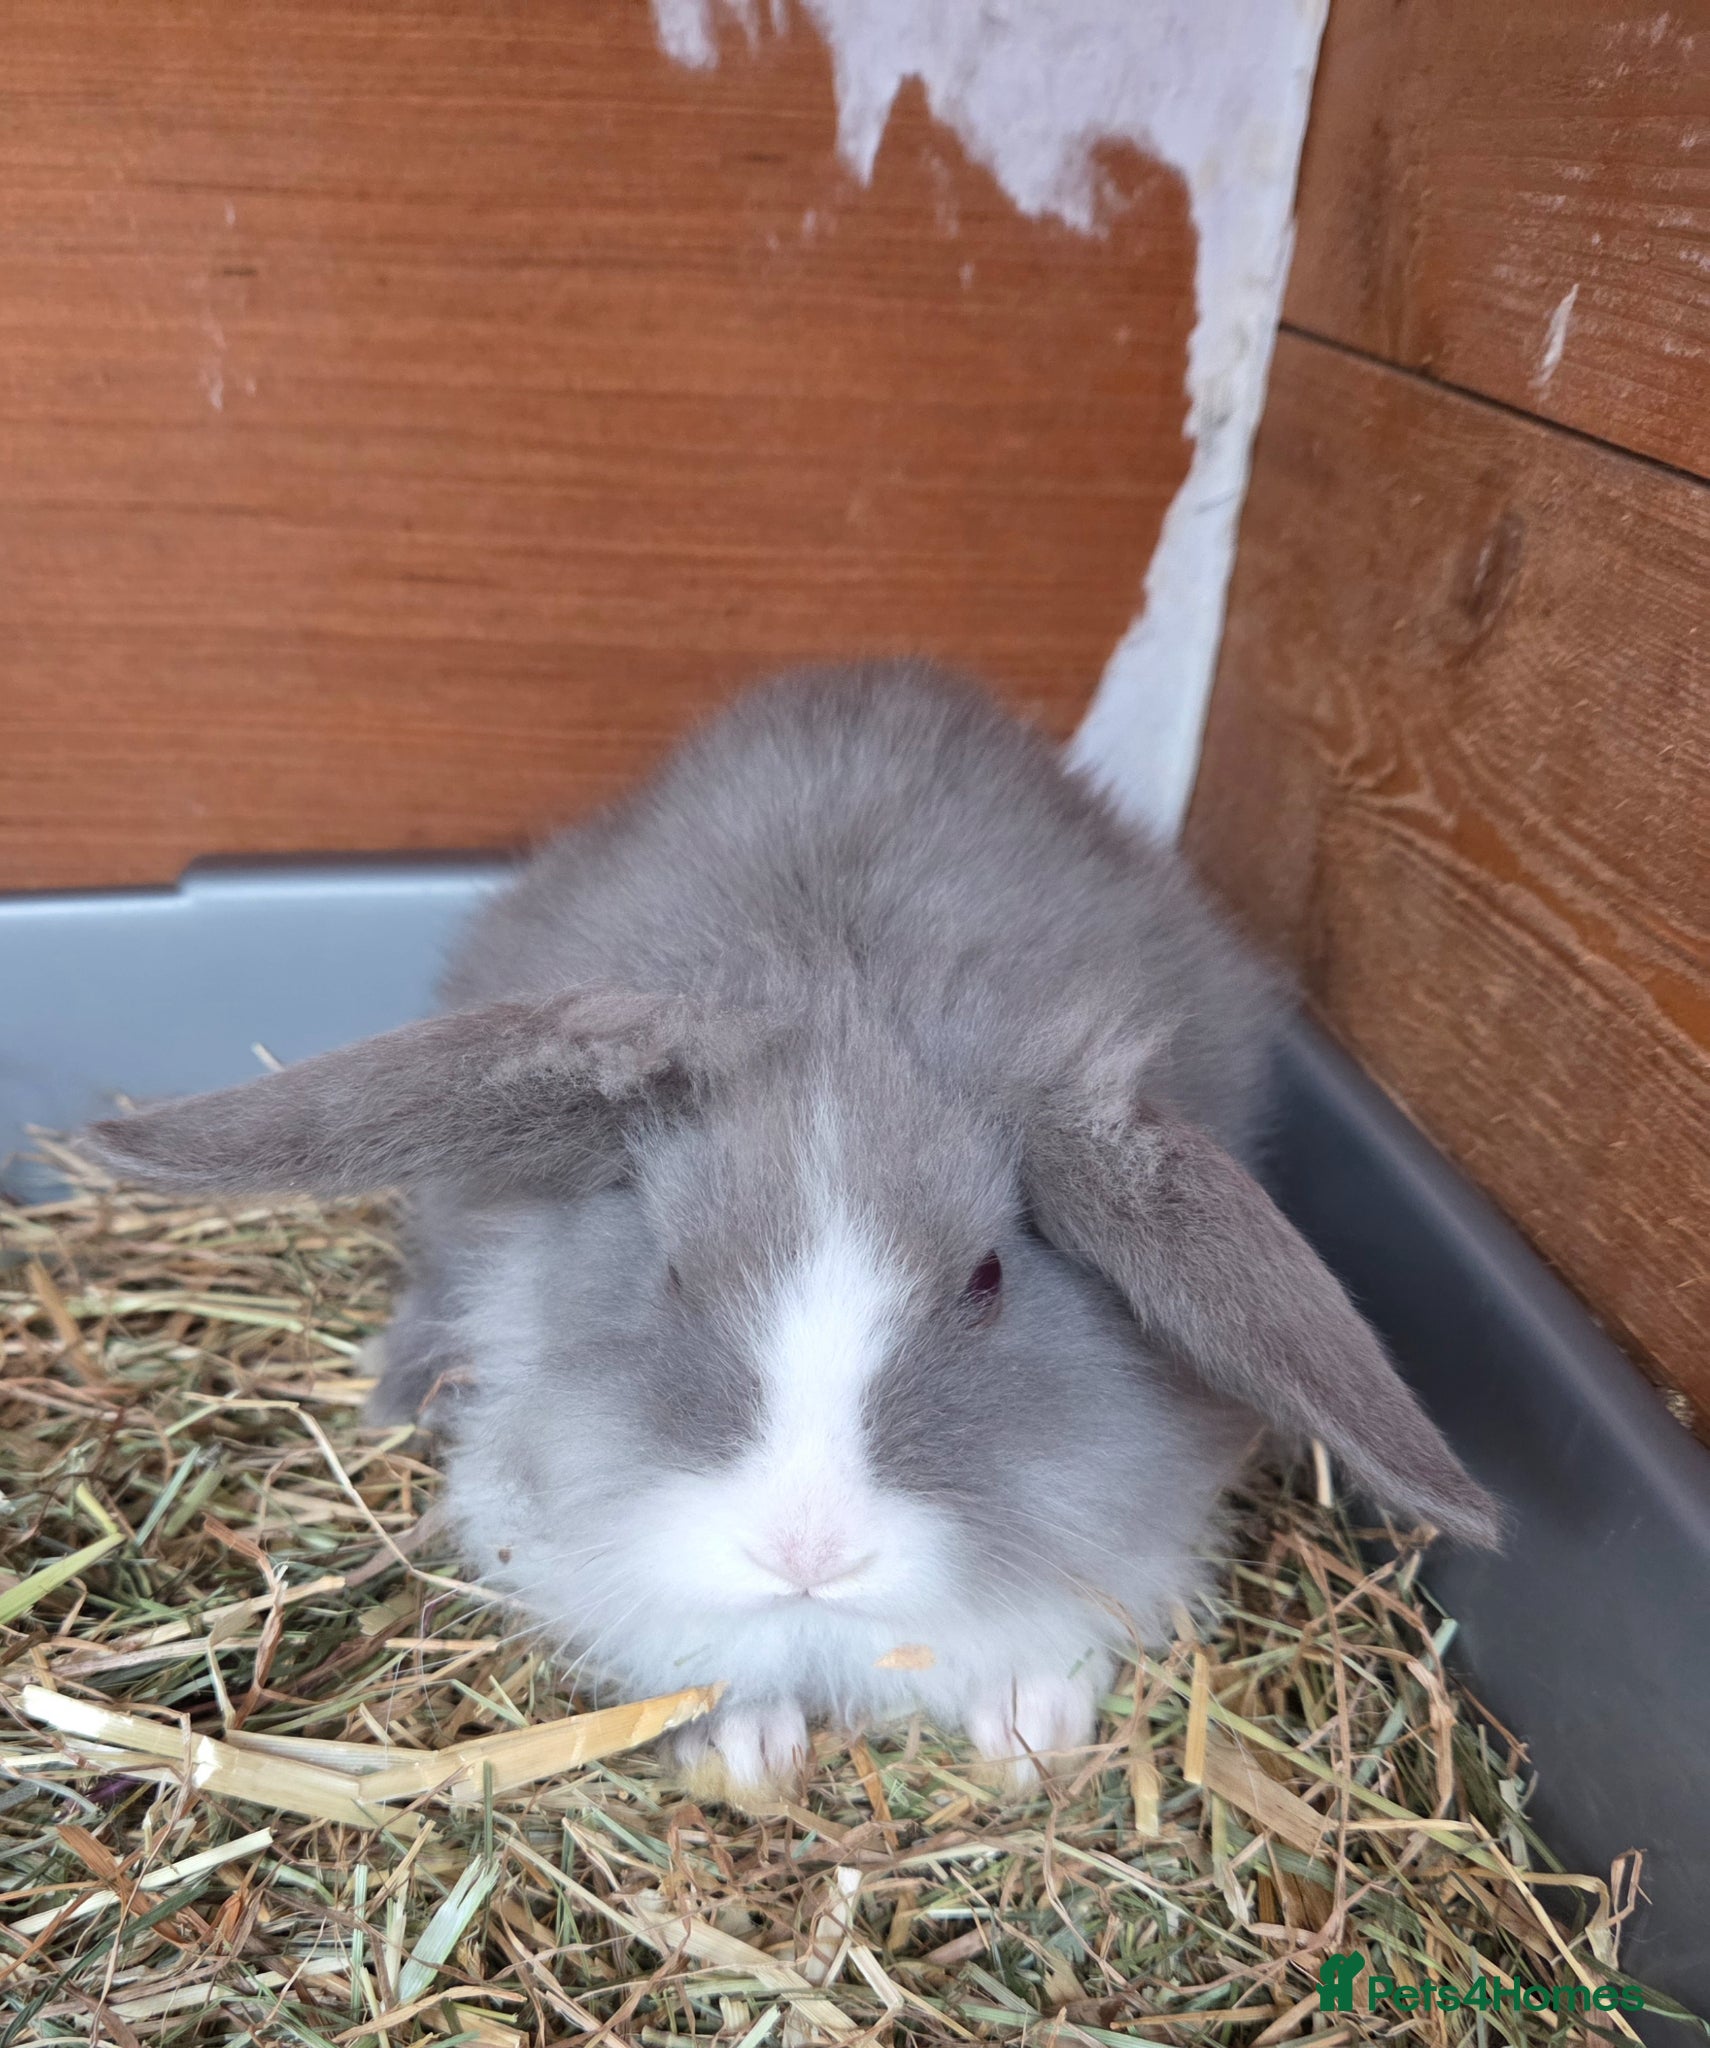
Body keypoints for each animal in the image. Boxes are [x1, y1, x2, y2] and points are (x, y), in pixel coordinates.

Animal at [86, 662, 1500, 1800]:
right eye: (668, 1268)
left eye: (989, 1276)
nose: (807, 1550)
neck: (845, 991)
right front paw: (745, 1745)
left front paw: (1027, 1730)